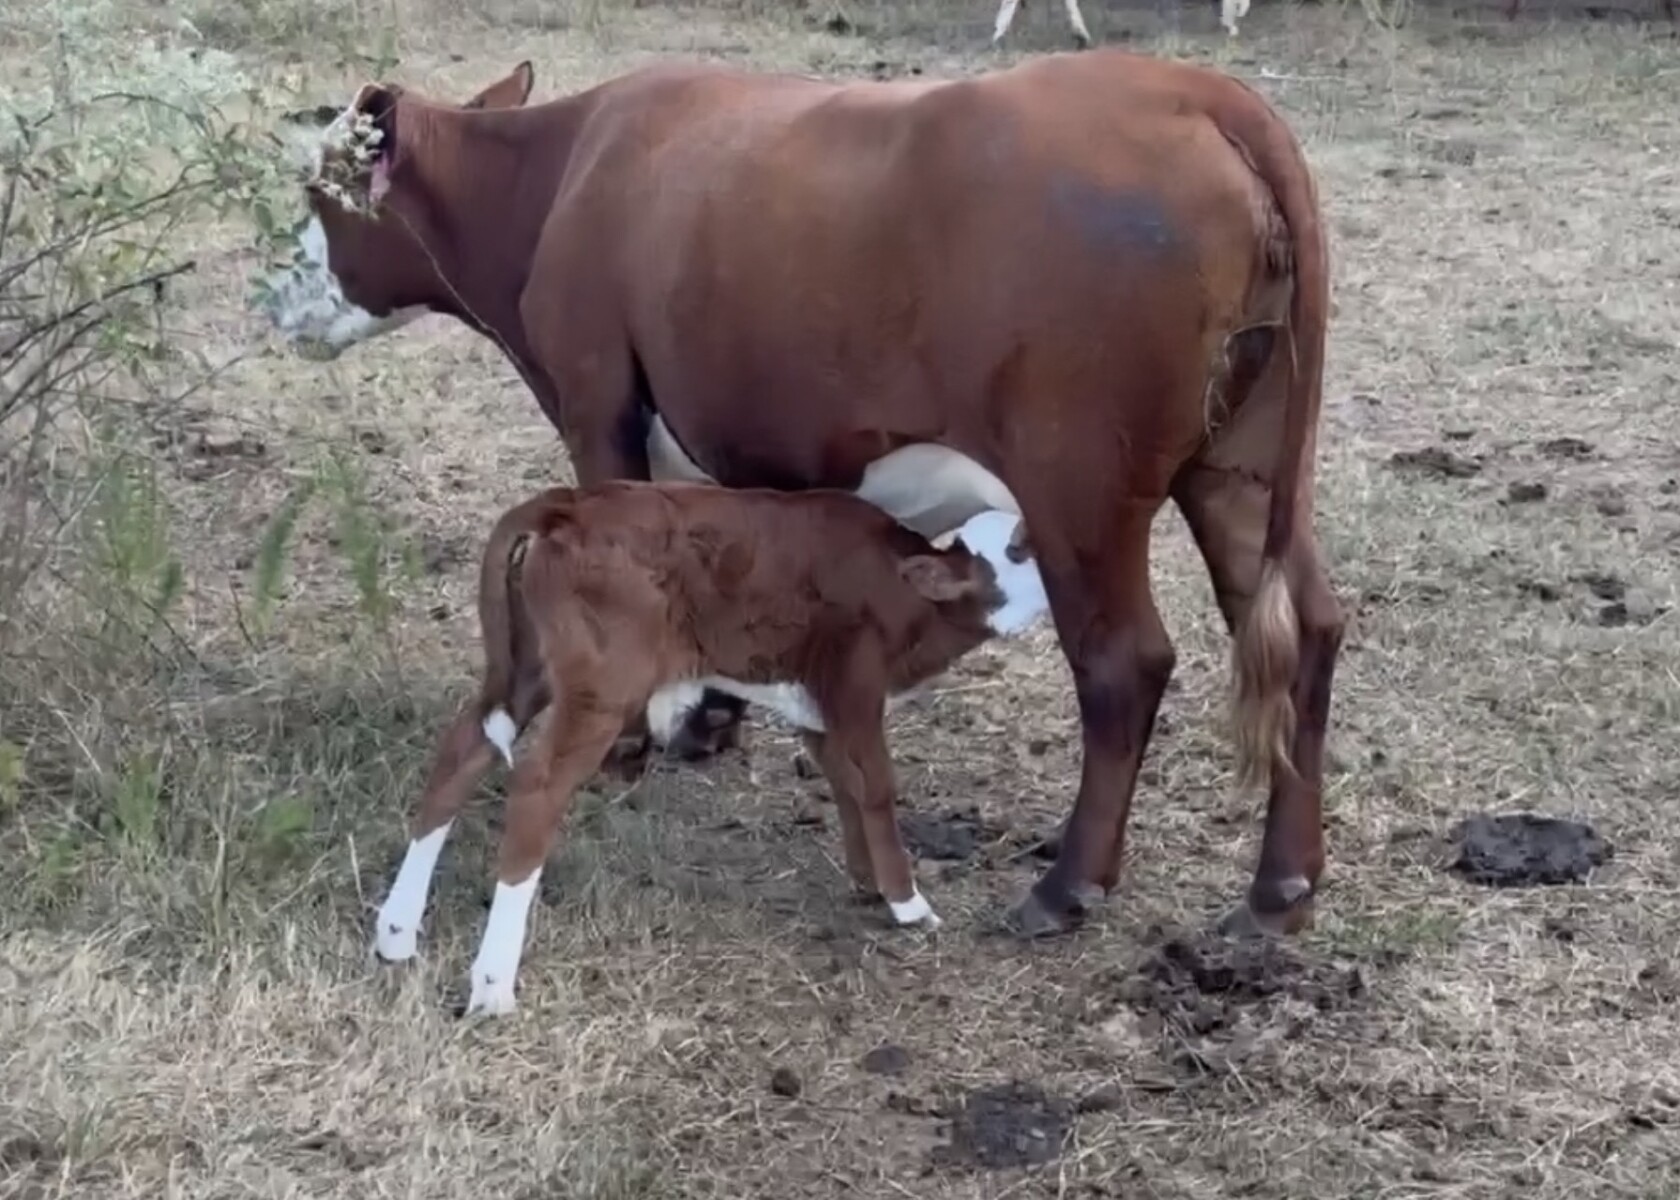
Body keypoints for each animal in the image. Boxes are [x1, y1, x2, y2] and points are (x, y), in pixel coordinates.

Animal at [257, 48, 1345, 943]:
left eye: (319, 194)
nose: (264, 297)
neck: (560, 176)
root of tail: (1193, 91)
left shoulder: (597, 402)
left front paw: (634, 746)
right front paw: (706, 718)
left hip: (1078, 487)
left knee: (1125, 663)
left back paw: (1067, 885)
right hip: (1240, 467)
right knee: (1305, 629)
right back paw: (1279, 888)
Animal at [374, 483, 1049, 1015]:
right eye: (1017, 550)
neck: (906, 598)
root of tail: (564, 503)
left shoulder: (814, 703)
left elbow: (846, 783)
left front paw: (867, 881)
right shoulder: (853, 684)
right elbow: (878, 787)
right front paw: (909, 904)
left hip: (529, 666)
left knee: (464, 749)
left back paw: (396, 934)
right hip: (602, 688)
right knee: (538, 786)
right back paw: (492, 986)